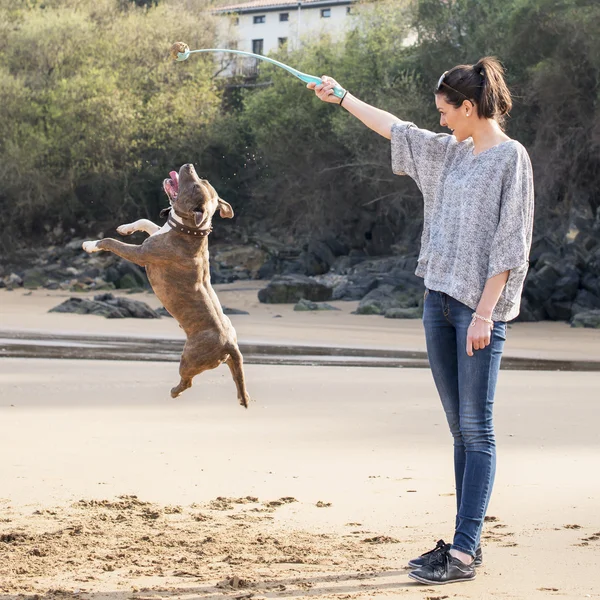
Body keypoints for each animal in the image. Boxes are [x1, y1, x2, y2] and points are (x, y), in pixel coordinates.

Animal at [82, 163, 248, 408]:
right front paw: (125, 227)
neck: (190, 229)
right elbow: (145, 221)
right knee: (237, 377)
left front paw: (90, 244)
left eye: (195, 186)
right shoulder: (155, 234)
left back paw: (174, 392)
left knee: (187, 381)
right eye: (204, 180)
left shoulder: (140, 254)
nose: (189, 165)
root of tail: (230, 345)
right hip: (230, 359)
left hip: (189, 359)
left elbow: (111, 242)